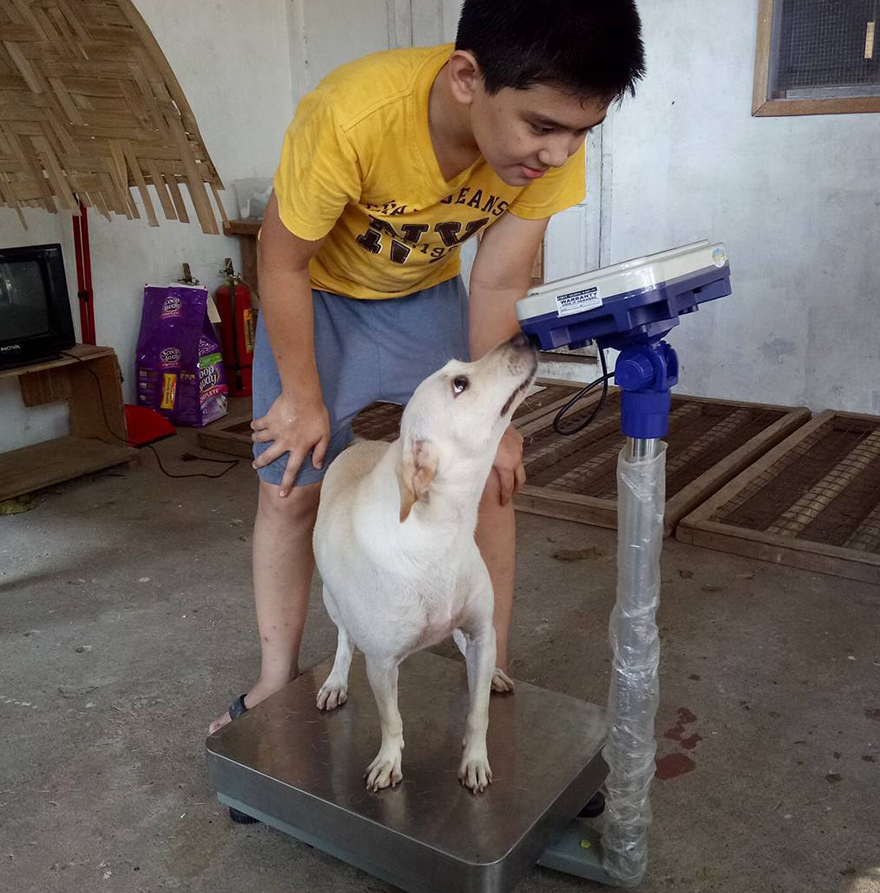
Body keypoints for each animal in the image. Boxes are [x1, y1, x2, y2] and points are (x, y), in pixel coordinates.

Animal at [312, 332, 540, 792]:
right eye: (459, 385)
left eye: (460, 368)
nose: (524, 336)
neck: (440, 535)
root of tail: (363, 445)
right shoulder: (381, 665)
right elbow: (391, 720)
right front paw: (388, 761)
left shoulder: (480, 629)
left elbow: (477, 712)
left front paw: (475, 759)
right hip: (331, 601)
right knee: (344, 640)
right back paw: (336, 680)